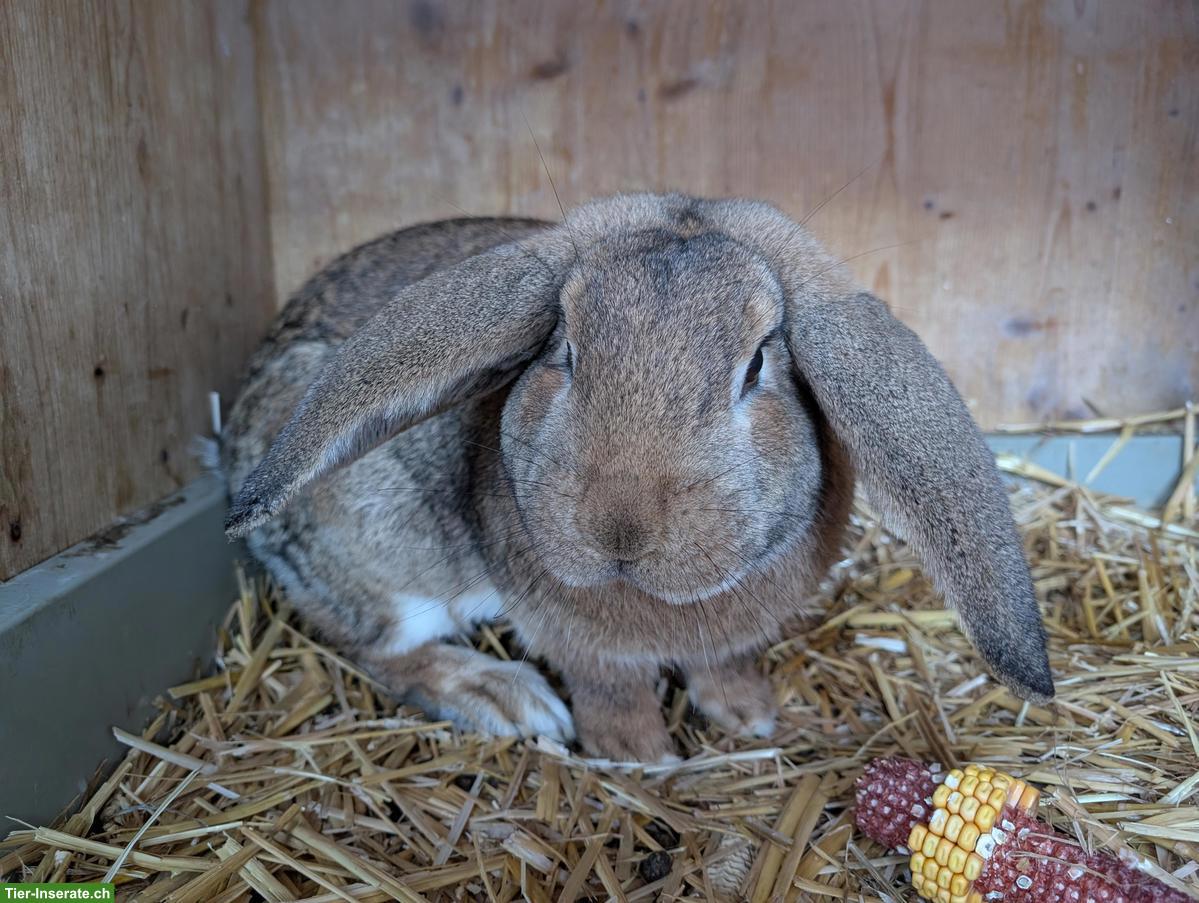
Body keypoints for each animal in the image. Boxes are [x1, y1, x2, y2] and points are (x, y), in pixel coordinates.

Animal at [221, 192, 1053, 761]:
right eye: (562, 347)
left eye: (756, 365)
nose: (618, 525)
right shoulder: (578, 644)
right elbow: (608, 690)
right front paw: (639, 757)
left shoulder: (731, 637)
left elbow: (722, 664)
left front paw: (748, 715)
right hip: (387, 557)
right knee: (377, 649)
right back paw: (507, 699)